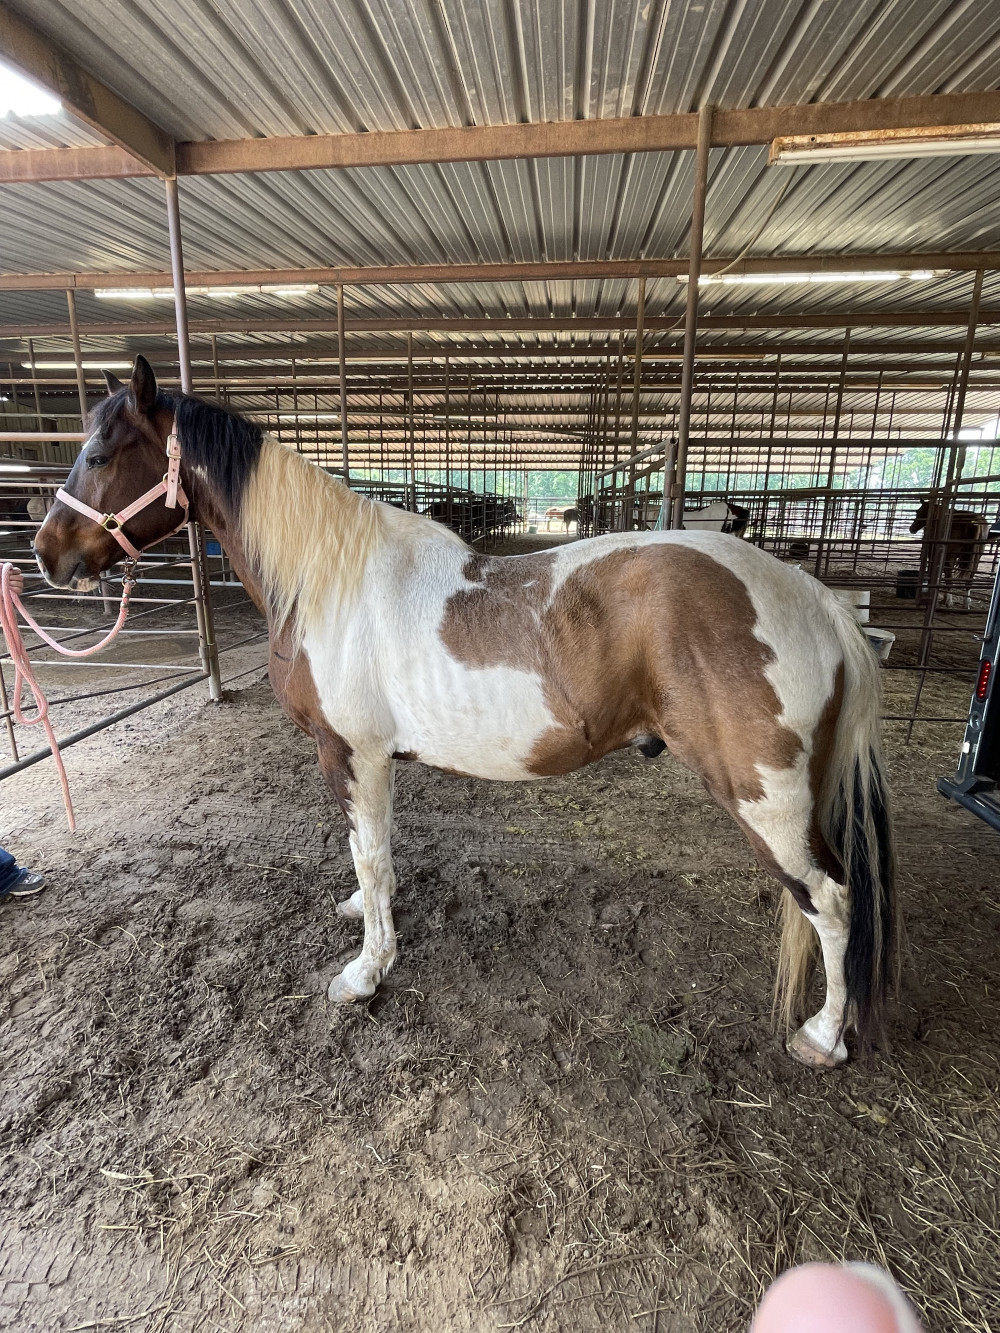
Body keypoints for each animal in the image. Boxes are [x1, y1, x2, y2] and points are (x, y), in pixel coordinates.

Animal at [34, 358, 897, 1068]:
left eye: (101, 454)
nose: (46, 555)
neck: (330, 582)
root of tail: (812, 597)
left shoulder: (351, 755)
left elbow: (371, 854)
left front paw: (365, 971)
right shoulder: (369, 763)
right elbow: (370, 853)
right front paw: (365, 915)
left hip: (766, 798)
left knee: (831, 898)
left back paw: (823, 1036)